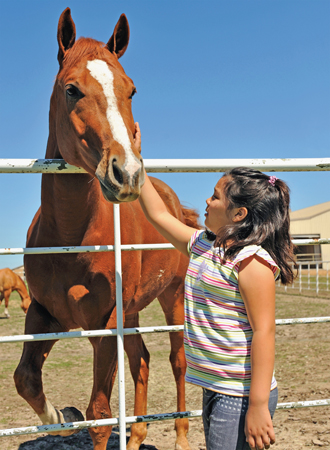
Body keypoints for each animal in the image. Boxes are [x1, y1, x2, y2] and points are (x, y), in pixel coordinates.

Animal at [12, 9, 200, 450]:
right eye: (72, 90)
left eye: (131, 90)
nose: (127, 172)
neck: (69, 241)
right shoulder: (45, 313)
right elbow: (25, 379)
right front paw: (62, 417)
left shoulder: (104, 325)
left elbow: (99, 415)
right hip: (131, 312)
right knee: (142, 360)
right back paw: (137, 434)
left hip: (172, 298)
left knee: (177, 361)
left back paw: (182, 435)